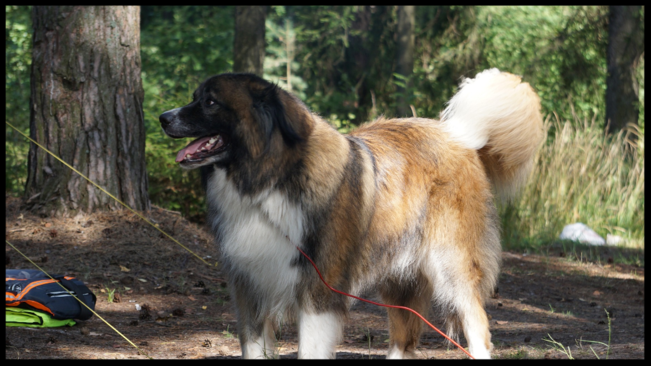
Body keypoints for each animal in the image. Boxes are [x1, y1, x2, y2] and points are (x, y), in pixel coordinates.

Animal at [159, 69, 544, 360]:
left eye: (210, 102)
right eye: (196, 97)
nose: (163, 117)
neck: (269, 180)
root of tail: (459, 135)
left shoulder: (318, 292)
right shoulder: (250, 290)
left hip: (451, 266)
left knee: (476, 325)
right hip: (400, 279)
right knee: (403, 339)